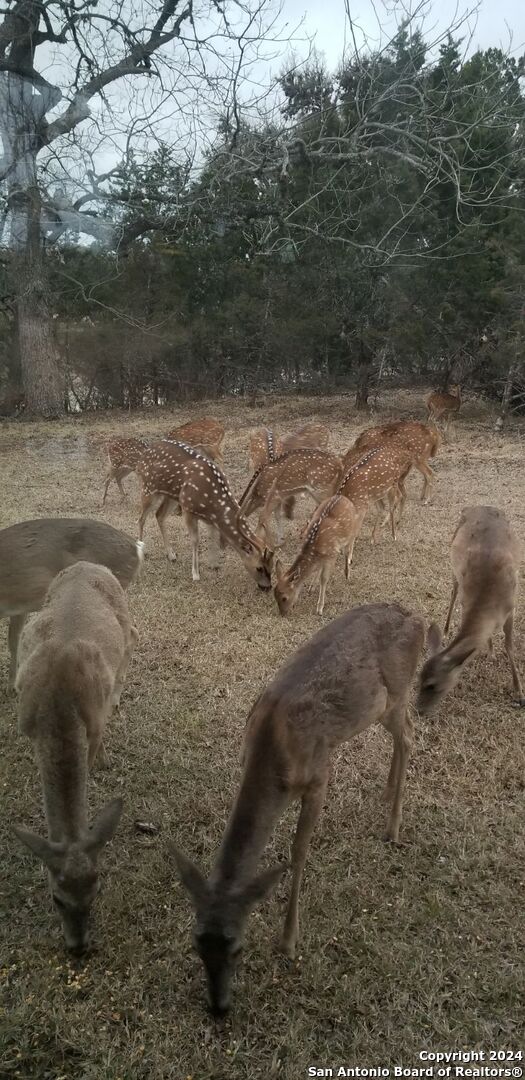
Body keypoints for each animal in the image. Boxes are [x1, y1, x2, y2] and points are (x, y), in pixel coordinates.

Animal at [13, 561, 138, 959]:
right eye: (56, 898)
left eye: (97, 891)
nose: (79, 947)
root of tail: (90, 563)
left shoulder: (95, 722)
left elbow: (94, 753)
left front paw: (101, 765)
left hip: (124, 614)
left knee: (132, 637)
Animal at [135, 440, 272, 587]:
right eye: (259, 568)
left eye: (271, 565)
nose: (267, 587)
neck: (211, 505)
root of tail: (142, 455)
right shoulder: (188, 509)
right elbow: (196, 540)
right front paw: (195, 574)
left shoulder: (210, 519)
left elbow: (213, 536)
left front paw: (214, 564)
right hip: (148, 488)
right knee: (141, 518)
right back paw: (142, 551)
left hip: (172, 496)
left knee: (159, 515)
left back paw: (171, 555)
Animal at [171, 604, 425, 1015]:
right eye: (197, 944)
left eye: (237, 946)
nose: (218, 1006)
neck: (272, 750)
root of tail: (416, 617)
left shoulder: (319, 775)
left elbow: (299, 851)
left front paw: (289, 941)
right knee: (402, 736)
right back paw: (387, 796)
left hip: (398, 694)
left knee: (409, 735)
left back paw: (393, 828)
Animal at [416, 505, 522, 717]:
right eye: (419, 679)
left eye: (432, 685)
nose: (418, 710)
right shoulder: (467, 600)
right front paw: (490, 652)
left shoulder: (511, 607)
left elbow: (509, 646)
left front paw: (519, 693)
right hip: (453, 564)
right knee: (453, 591)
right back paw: (446, 629)